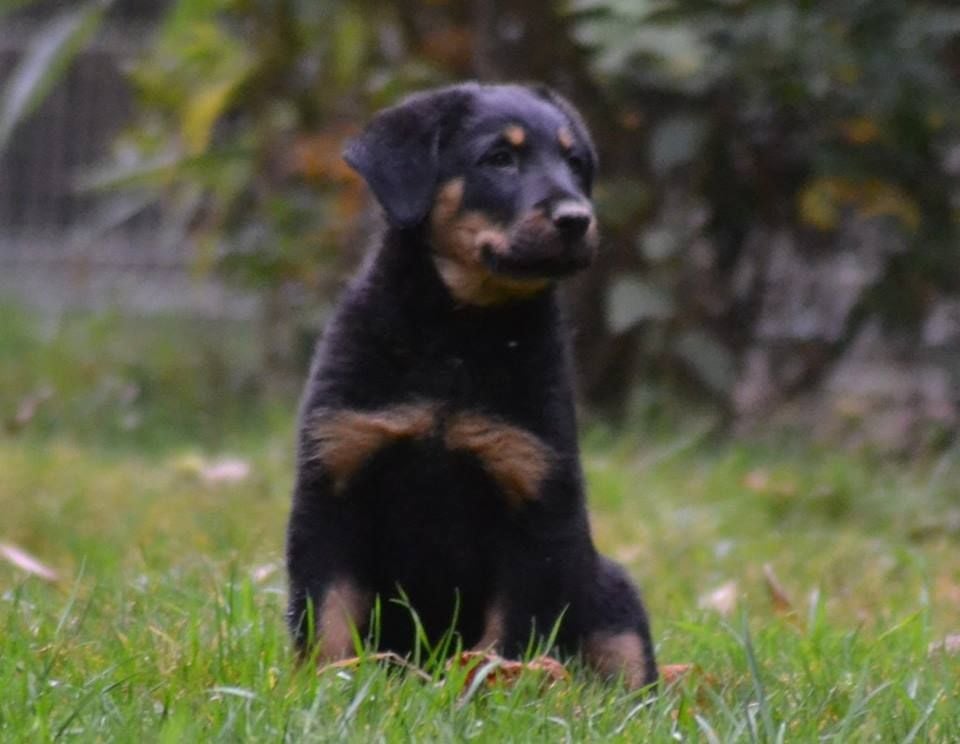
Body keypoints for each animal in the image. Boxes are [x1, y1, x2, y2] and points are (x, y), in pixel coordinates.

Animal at [284, 80, 656, 684]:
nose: (577, 218)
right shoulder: (335, 480)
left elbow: (510, 632)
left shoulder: (534, 502)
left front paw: (489, 685)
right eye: (499, 159)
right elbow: (328, 614)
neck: (458, 333)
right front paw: (329, 682)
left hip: (609, 588)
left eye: (575, 163)